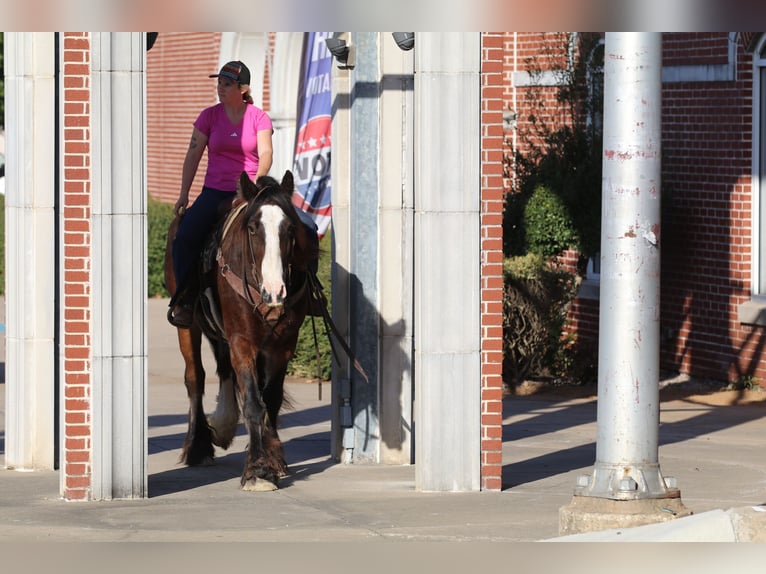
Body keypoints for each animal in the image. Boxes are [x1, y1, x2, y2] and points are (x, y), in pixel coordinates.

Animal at [165, 170, 320, 490]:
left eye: (290, 229)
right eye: (252, 228)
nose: (275, 291)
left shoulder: (283, 344)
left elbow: (270, 399)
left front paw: (272, 458)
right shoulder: (242, 341)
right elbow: (252, 401)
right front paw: (258, 471)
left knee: (226, 371)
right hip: (189, 326)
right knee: (195, 378)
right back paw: (198, 445)